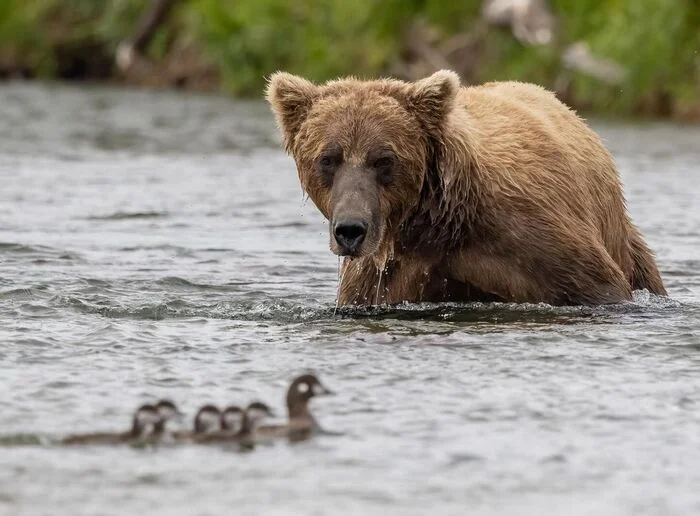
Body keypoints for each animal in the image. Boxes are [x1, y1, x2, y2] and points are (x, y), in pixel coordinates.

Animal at [266, 71, 664, 306]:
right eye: (328, 158)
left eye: (383, 159)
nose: (350, 230)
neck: (435, 226)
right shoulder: (382, 277)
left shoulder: (532, 238)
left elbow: (596, 286)